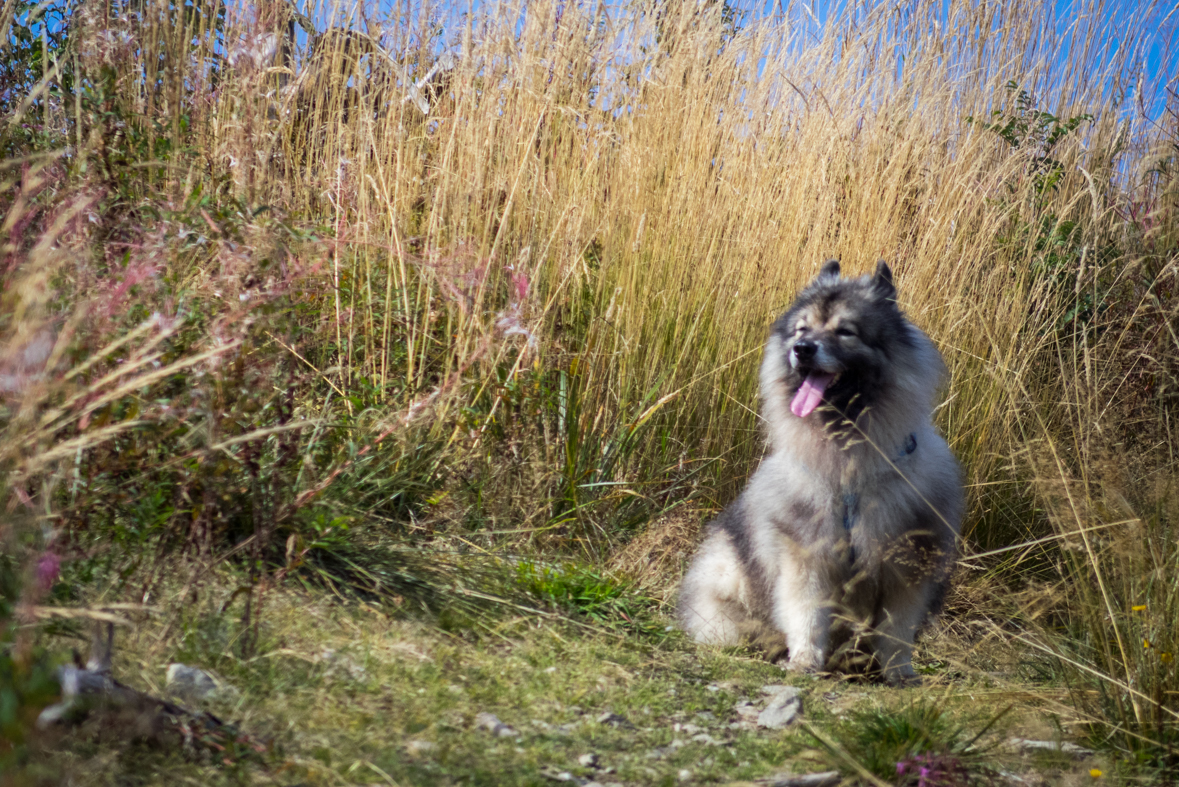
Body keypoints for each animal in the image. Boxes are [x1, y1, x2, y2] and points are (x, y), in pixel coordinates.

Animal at [679, 258, 962, 683]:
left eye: (845, 331)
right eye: (801, 329)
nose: (802, 349)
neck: (849, 458)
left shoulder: (907, 564)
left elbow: (897, 629)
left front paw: (900, 673)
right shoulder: (807, 555)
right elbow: (807, 616)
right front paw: (804, 661)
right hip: (727, 579)